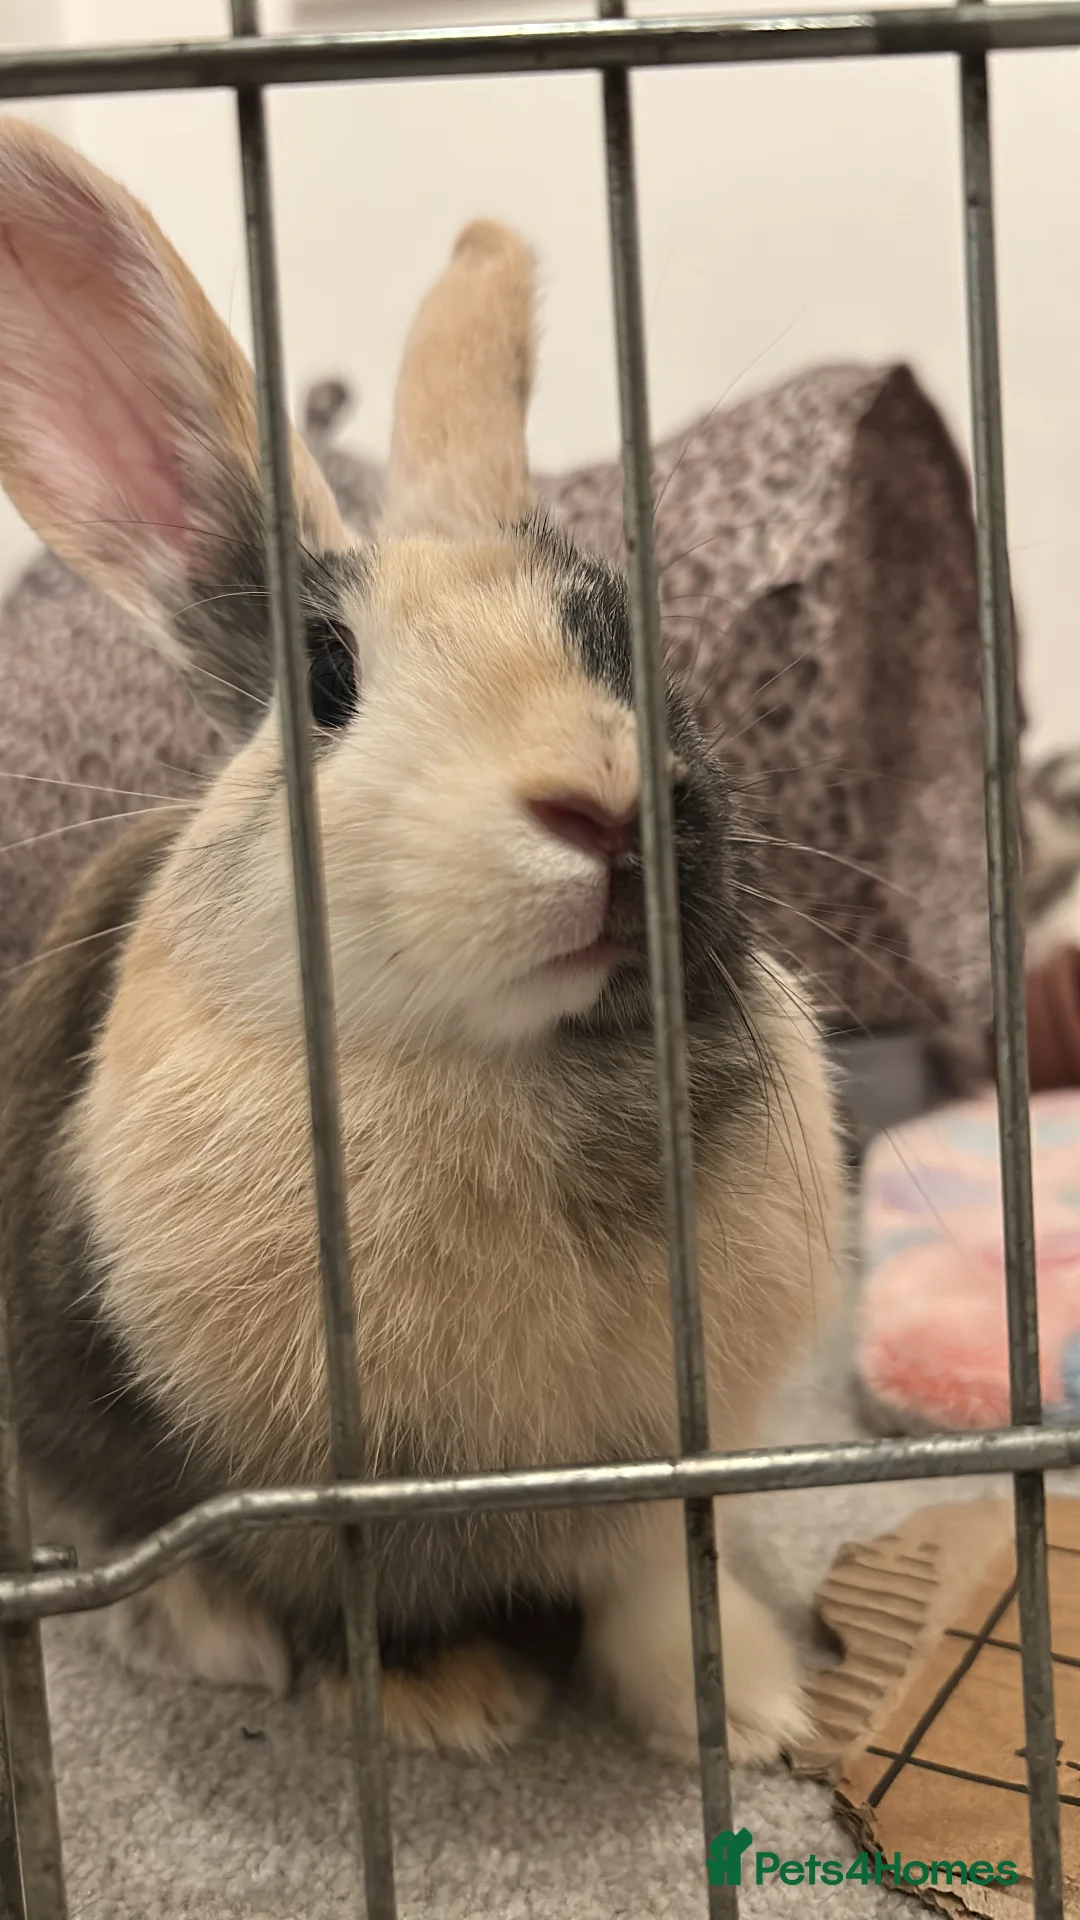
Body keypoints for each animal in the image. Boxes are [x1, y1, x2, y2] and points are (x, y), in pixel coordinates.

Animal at [0, 116, 842, 1766]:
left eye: (627, 637)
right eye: (326, 679)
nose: (596, 805)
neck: (504, 1066)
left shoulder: (671, 1473)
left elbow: (659, 1593)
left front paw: (757, 1721)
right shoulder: (294, 1502)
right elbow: (334, 1597)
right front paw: (450, 1712)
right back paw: (211, 1641)